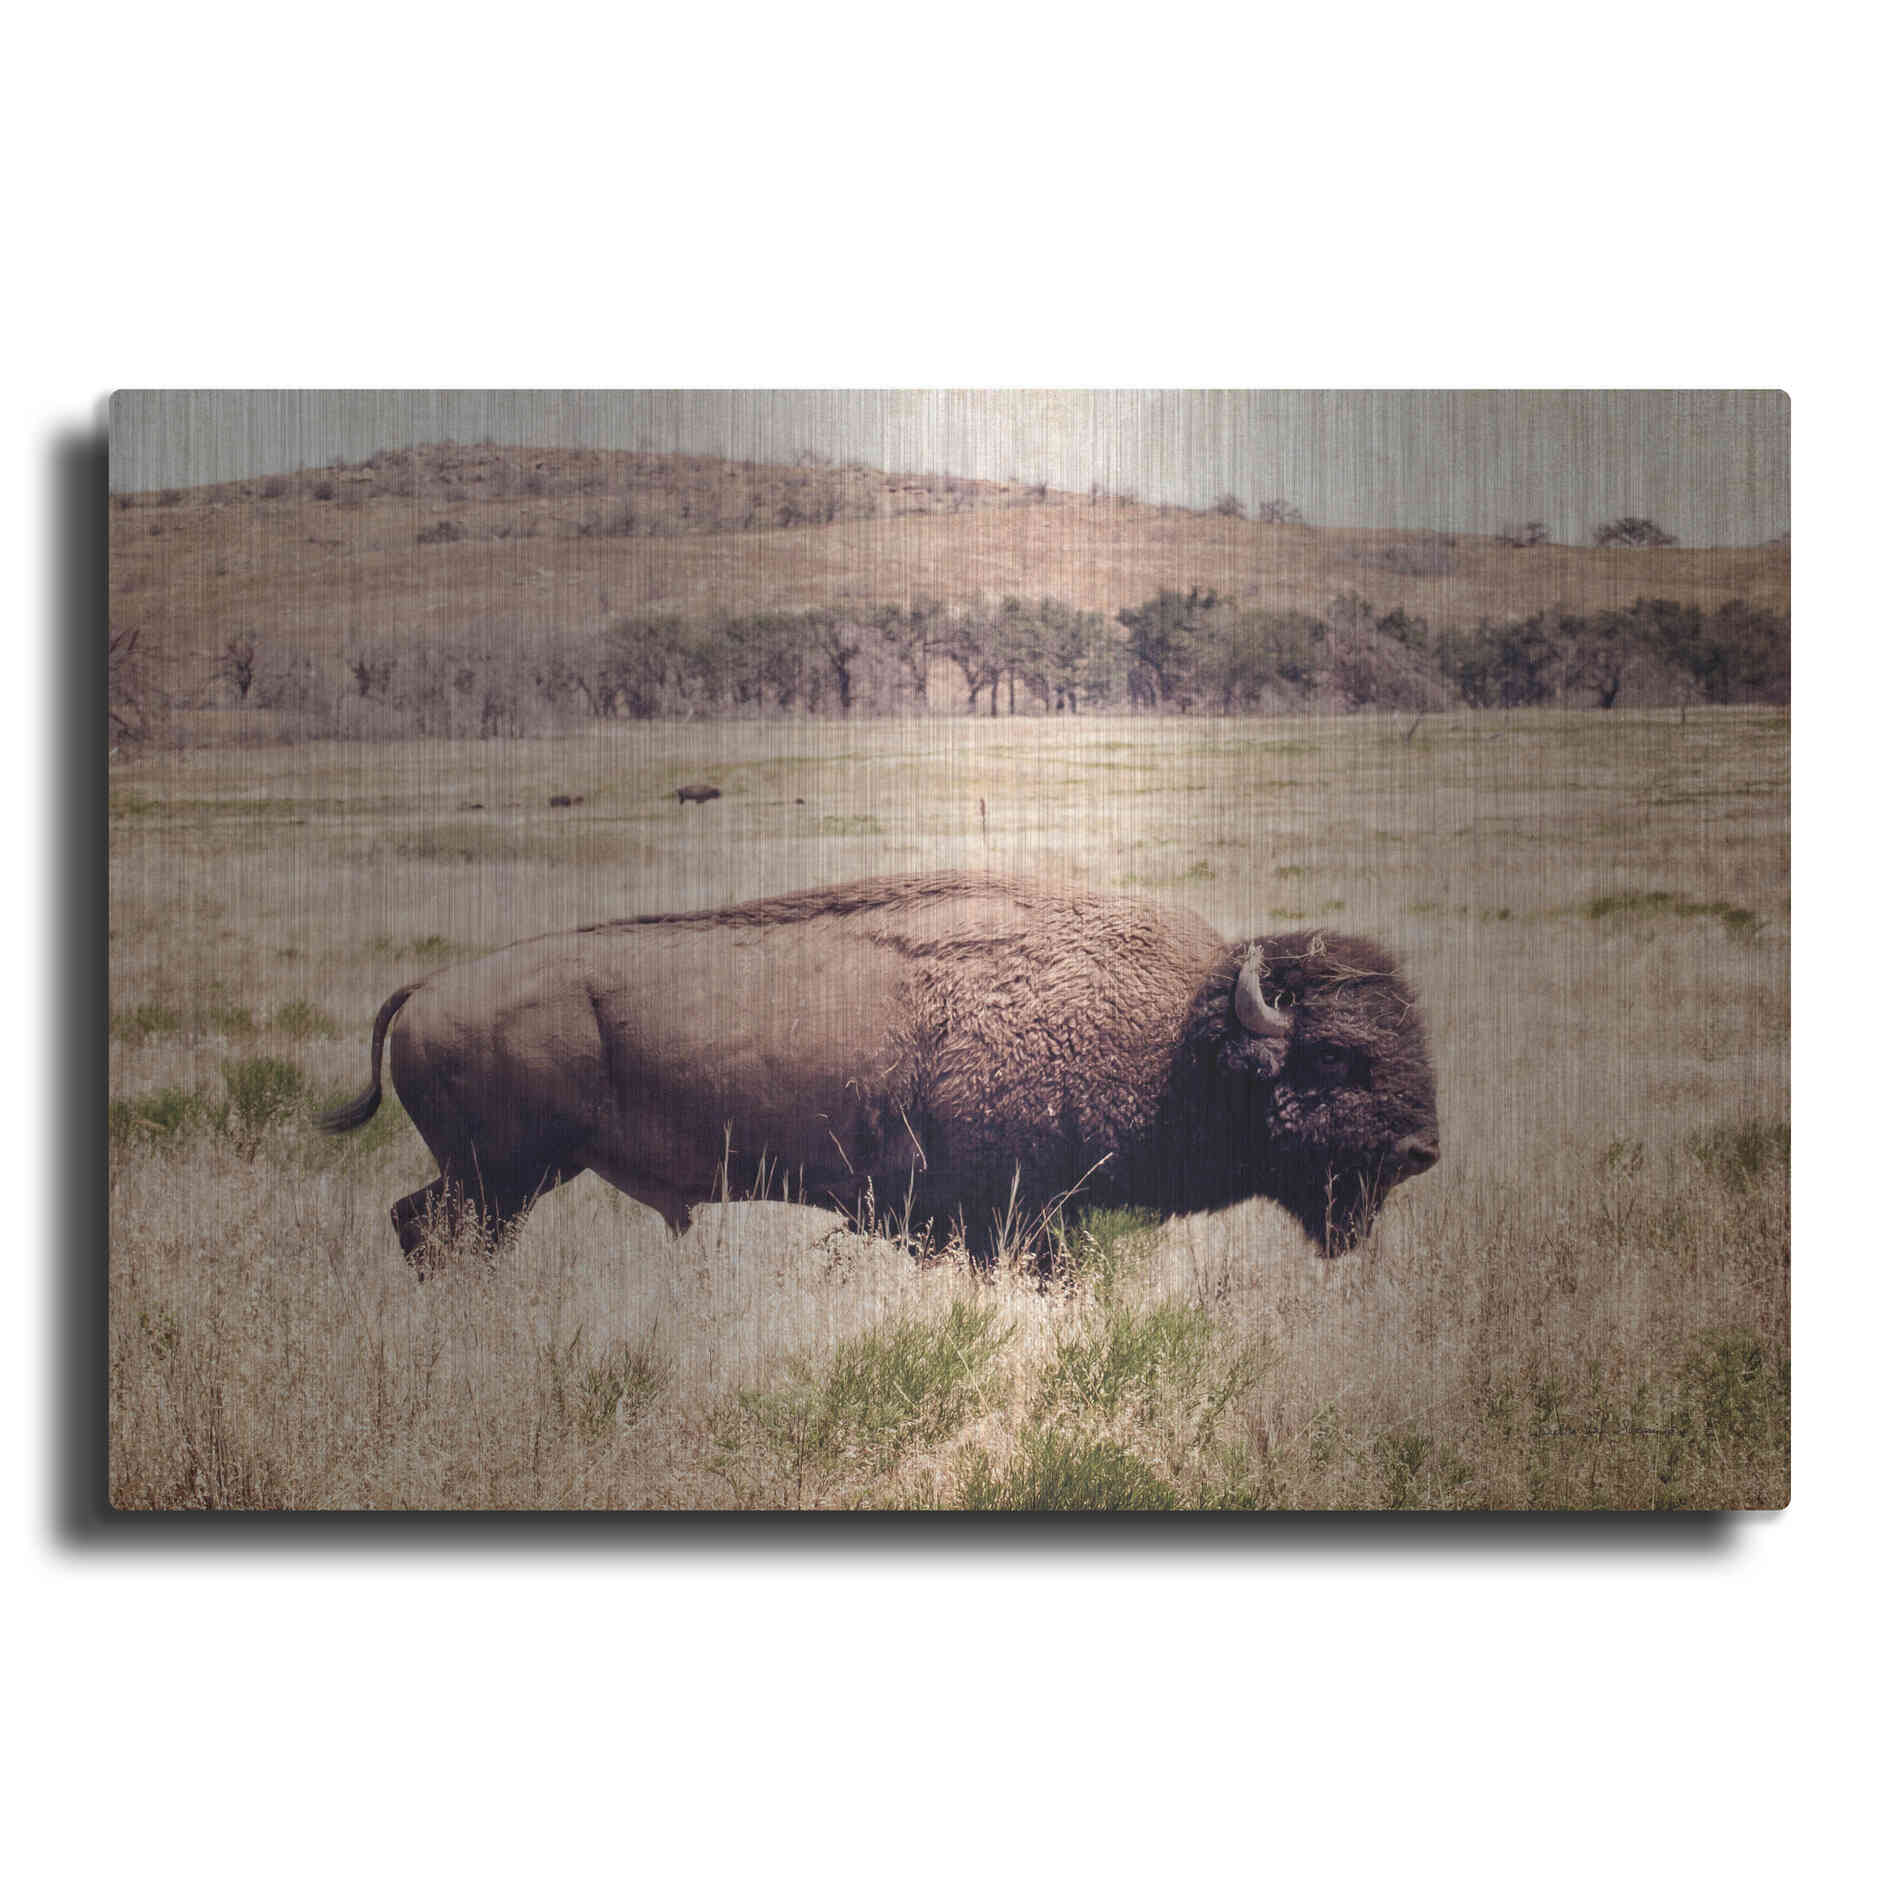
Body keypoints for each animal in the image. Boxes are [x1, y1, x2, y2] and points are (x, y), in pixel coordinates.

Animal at [318, 873, 1438, 1265]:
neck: (1176, 1040)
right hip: (502, 1178)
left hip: (497, 1180)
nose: (1422, 1149)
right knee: (433, 1230)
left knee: (418, 1225)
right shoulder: (1005, 1220)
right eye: (1334, 1055)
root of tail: (429, 987)